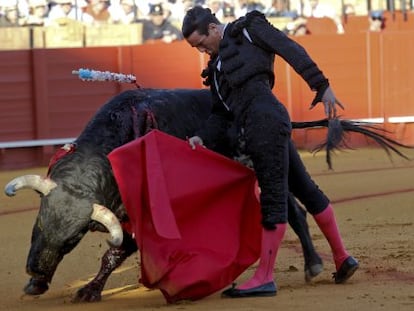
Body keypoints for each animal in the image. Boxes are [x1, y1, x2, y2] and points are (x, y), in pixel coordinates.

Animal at [3, 87, 406, 302]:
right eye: (36, 227)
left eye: (73, 240)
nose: (33, 267)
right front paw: (37, 284)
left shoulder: (135, 219)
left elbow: (113, 255)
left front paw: (88, 291)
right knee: (293, 211)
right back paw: (315, 265)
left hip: (286, 163)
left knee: (303, 206)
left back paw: (320, 266)